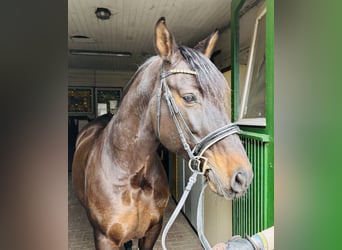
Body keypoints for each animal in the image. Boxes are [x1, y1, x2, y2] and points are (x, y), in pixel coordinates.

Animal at [72, 16, 252, 249]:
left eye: (224, 96)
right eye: (188, 97)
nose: (243, 176)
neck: (132, 176)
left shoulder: (152, 232)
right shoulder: (105, 239)